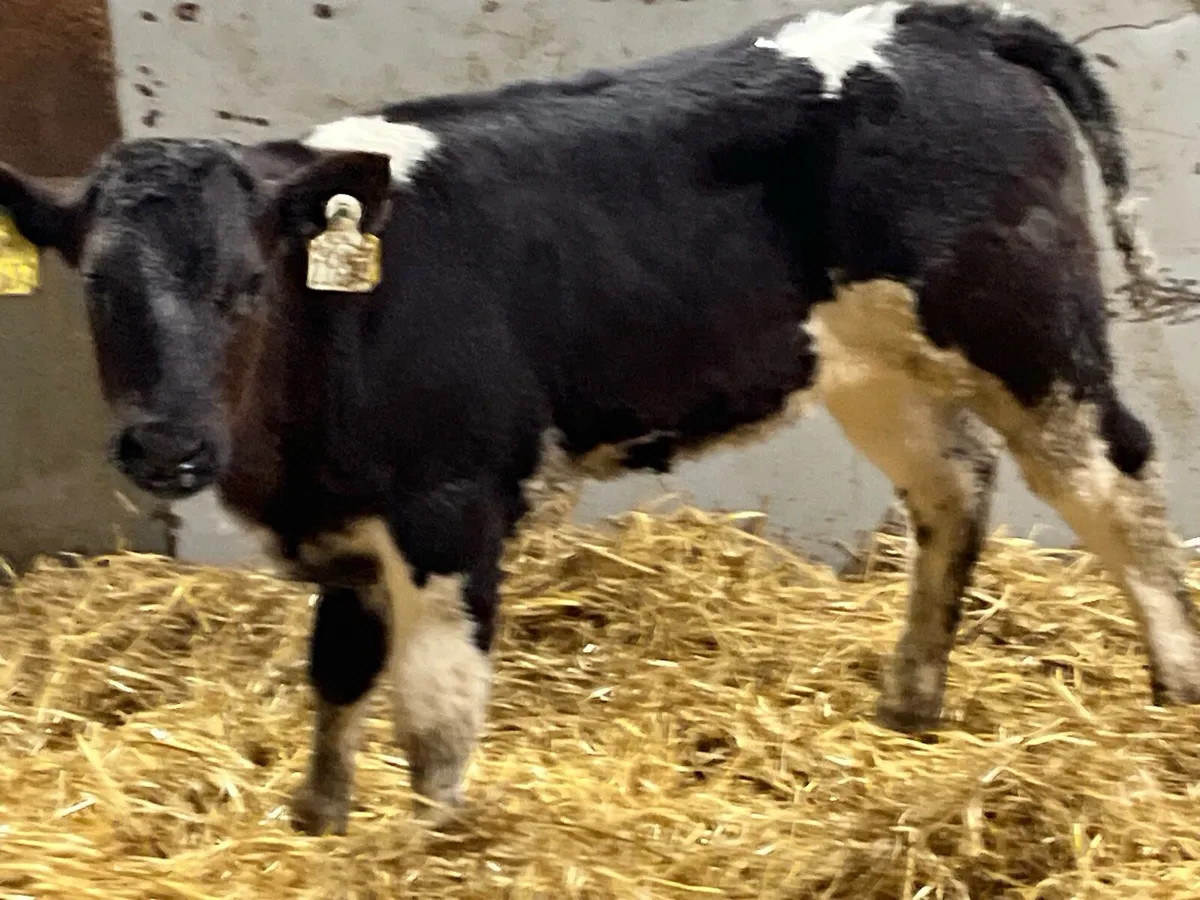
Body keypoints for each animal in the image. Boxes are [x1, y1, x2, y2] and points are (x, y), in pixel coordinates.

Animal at [1, 0, 1196, 836]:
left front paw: (427, 849)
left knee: (1116, 481)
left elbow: (433, 719)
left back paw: (1175, 686)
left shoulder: (449, 510)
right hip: (872, 365)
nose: (168, 447)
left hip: (1028, 333)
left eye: (248, 285)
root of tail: (948, 21)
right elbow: (336, 679)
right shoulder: (347, 524)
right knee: (955, 487)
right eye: (95, 287)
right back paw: (909, 702)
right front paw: (319, 828)